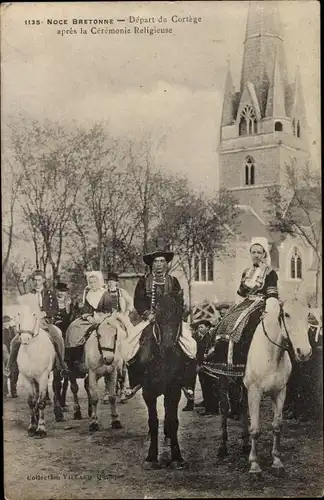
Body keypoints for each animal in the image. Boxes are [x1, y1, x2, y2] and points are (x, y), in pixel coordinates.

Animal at [14, 304, 64, 438]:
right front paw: (32, 426)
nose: (25, 338)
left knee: (56, 387)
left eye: (34, 314)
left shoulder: (43, 377)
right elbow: (31, 402)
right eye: (19, 313)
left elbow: (41, 402)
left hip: (55, 371)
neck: (31, 351)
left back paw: (59, 414)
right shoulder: (27, 378)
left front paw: (41, 428)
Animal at [140, 290, 189, 468]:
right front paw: (151, 457)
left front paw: (177, 457)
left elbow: (173, 421)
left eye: (179, 315)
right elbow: (153, 422)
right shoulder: (148, 392)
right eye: (158, 317)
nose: (167, 348)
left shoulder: (174, 391)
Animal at [246, 296, 312, 472]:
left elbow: (277, 426)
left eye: (308, 315)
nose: (304, 352)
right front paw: (254, 464)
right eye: (286, 314)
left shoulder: (280, 392)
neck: (271, 354)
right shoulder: (254, 393)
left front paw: (276, 460)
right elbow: (255, 429)